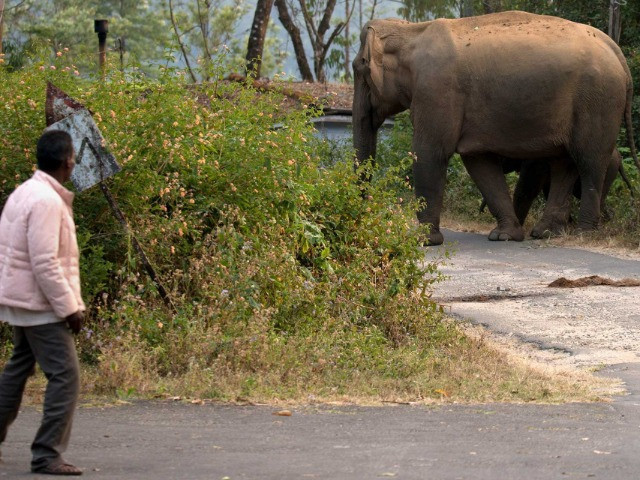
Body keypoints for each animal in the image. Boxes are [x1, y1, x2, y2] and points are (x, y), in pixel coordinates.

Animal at [352, 11, 640, 246]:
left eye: (359, 68)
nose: (361, 221)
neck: (412, 31)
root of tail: (614, 48)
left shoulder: (436, 90)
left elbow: (429, 153)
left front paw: (424, 241)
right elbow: (479, 162)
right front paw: (505, 236)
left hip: (598, 100)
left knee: (589, 161)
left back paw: (583, 233)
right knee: (564, 162)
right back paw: (546, 233)